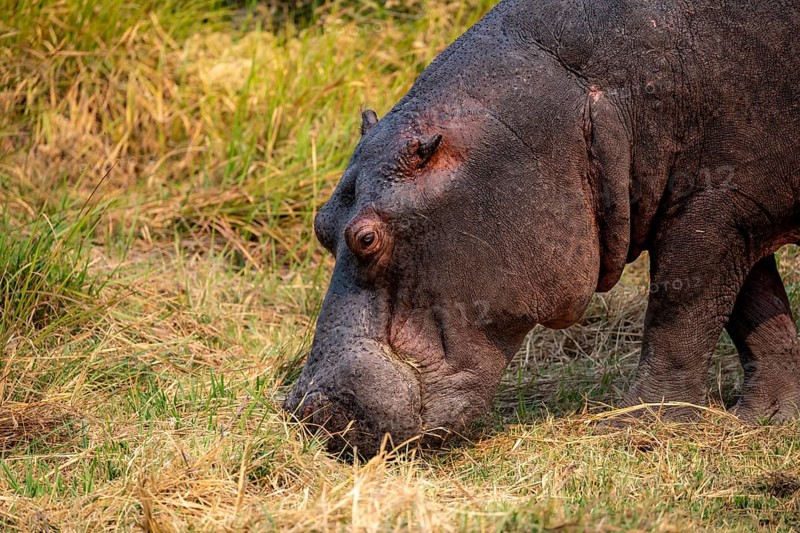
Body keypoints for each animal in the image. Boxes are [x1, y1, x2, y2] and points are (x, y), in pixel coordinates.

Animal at [284, 0, 800, 455]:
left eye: (367, 238)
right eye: (321, 224)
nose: (306, 411)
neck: (587, 104)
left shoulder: (714, 208)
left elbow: (679, 315)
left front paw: (631, 427)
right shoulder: (740, 212)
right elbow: (758, 318)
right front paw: (768, 419)